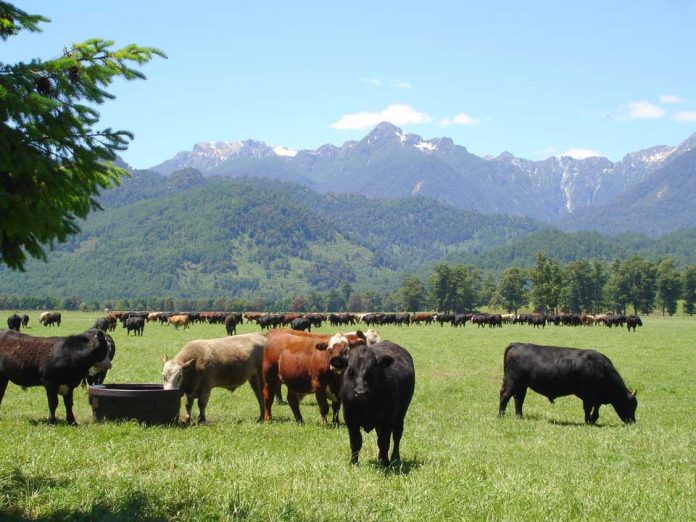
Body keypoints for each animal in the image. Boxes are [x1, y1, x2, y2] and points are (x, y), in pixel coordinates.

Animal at [498, 342, 640, 422]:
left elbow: (596, 410)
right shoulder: (588, 396)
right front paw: (587, 422)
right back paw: (501, 416)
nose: (633, 421)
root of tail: (518, 344)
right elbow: (588, 409)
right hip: (512, 381)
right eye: (631, 405)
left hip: (522, 385)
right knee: (505, 396)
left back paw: (519, 417)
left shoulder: (596, 398)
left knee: (518, 399)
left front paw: (593, 420)